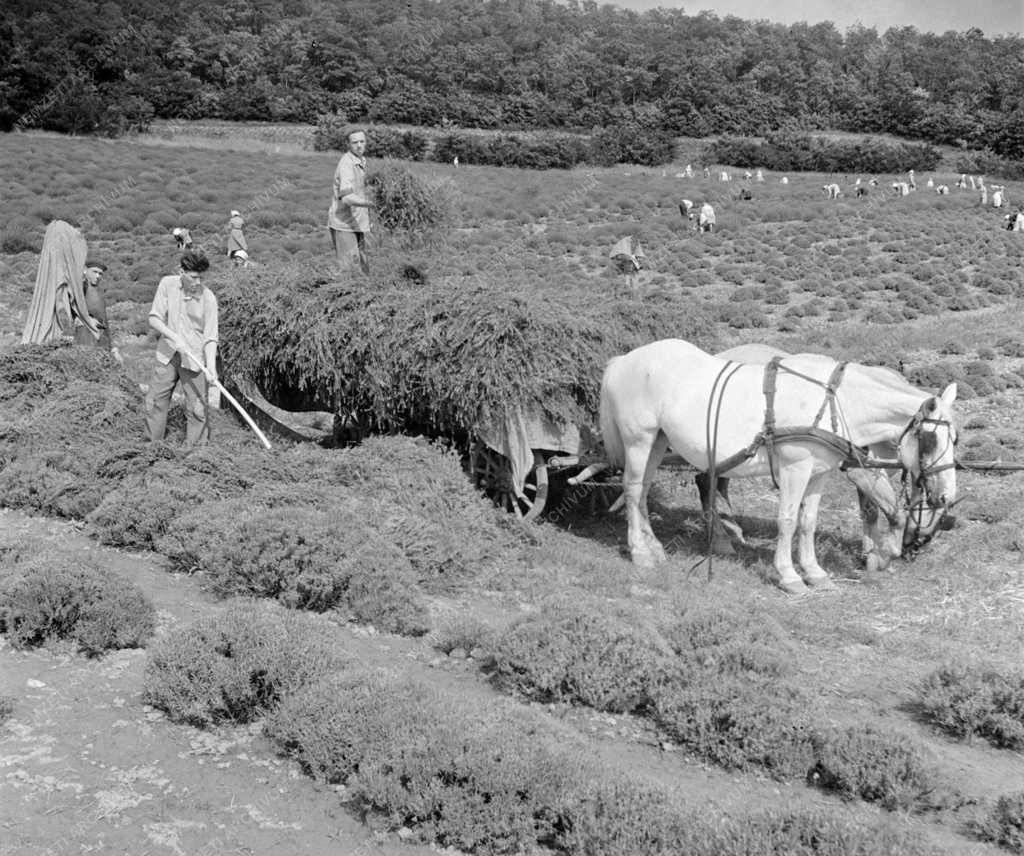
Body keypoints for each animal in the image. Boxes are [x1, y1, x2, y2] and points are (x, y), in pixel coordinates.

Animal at [598, 337, 958, 593]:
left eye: (955, 439)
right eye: (931, 440)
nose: (946, 499)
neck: (836, 402)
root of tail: (623, 360)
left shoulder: (819, 473)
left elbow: (809, 521)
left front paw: (815, 573)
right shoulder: (794, 468)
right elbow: (787, 520)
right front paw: (789, 576)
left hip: (658, 440)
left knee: (643, 491)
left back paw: (656, 547)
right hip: (639, 439)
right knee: (633, 490)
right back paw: (641, 553)